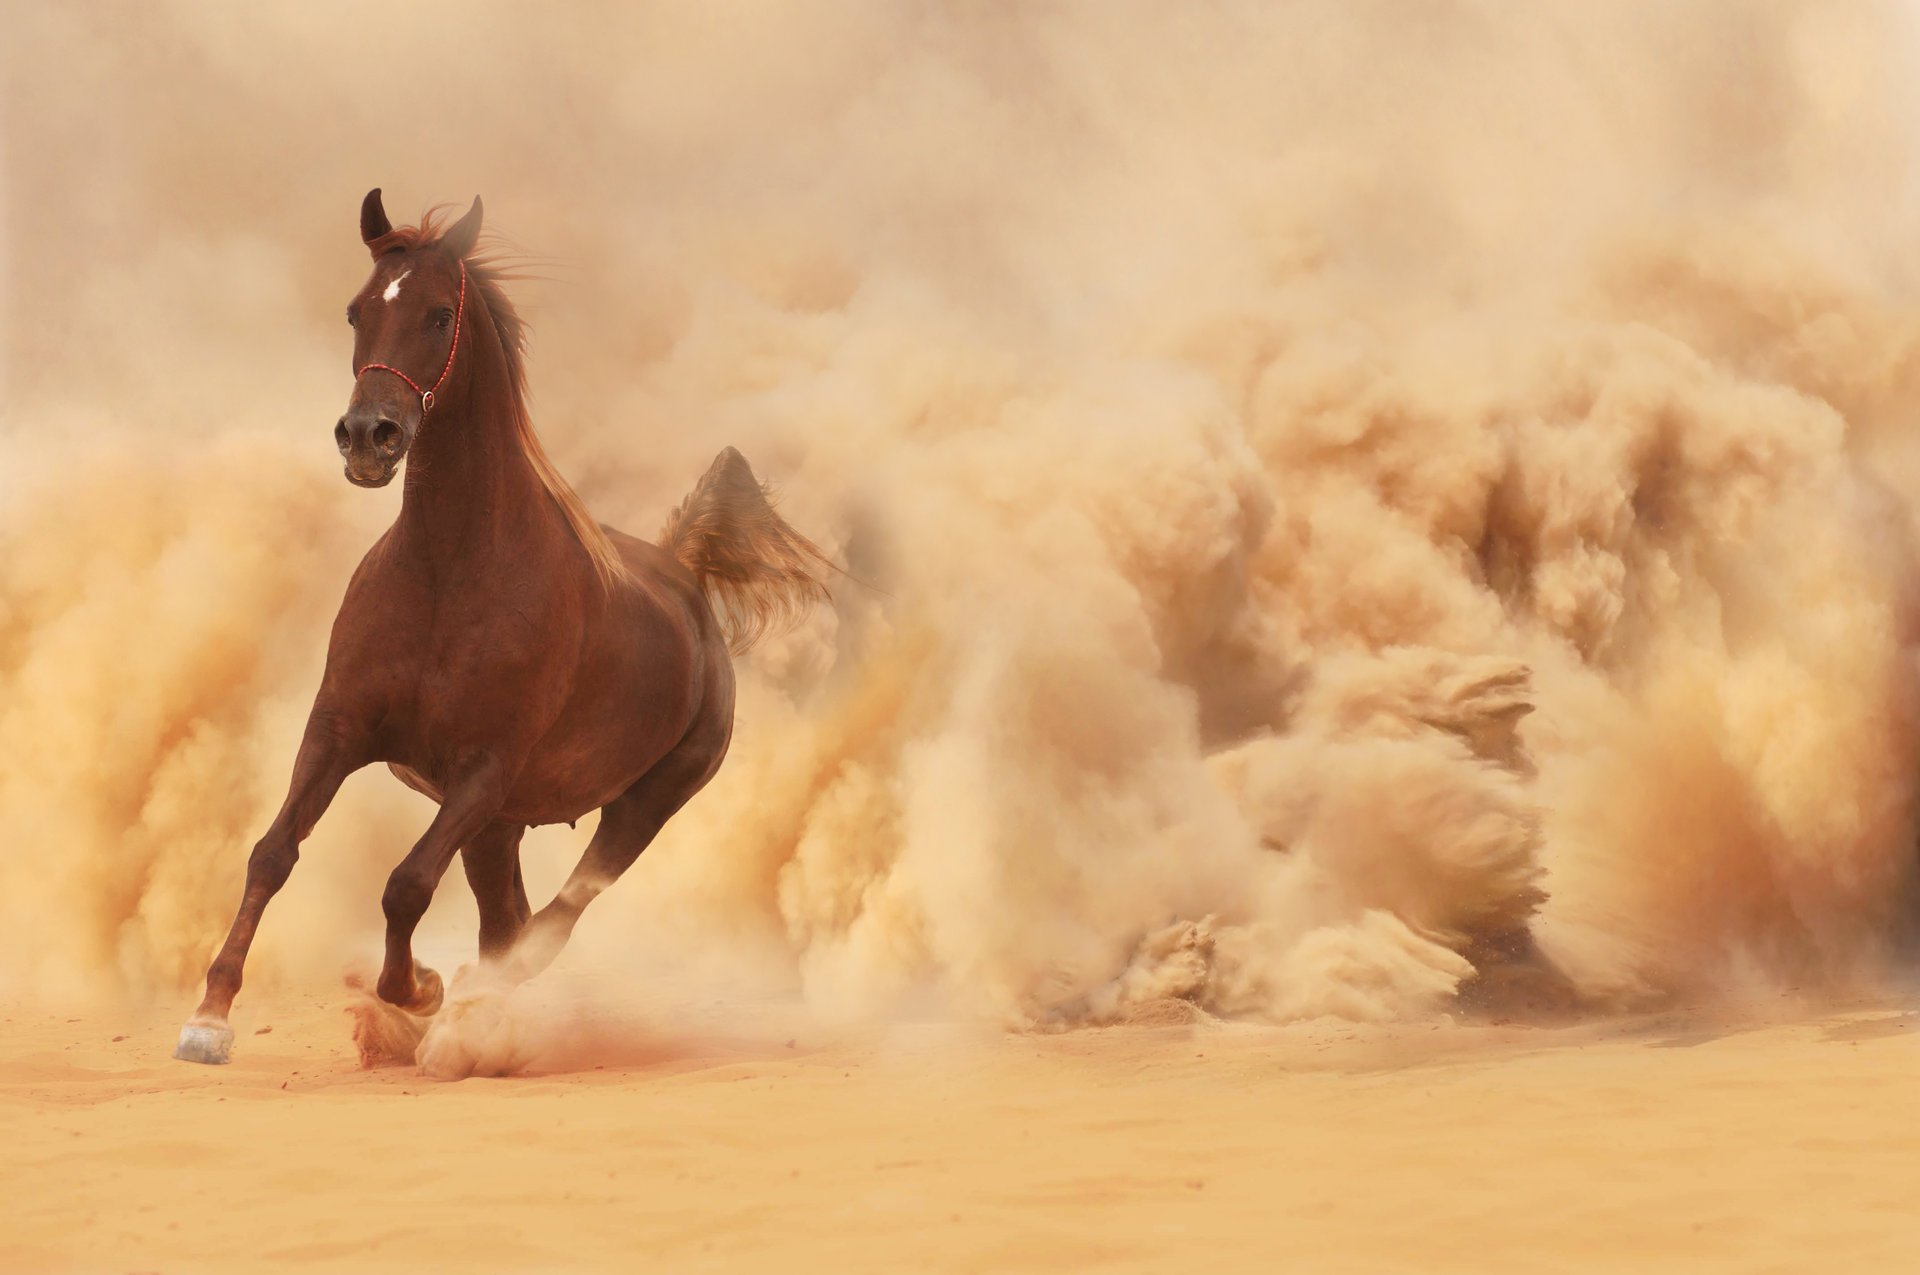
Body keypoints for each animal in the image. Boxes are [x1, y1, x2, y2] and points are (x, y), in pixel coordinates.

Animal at [174, 189, 833, 1065]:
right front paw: (209, 1018)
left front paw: (419, 988)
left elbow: (406, 883)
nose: (368, 436)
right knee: (508, 918)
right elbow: (272, 852)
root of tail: (684, 575)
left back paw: (472, 1012)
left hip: (641, 804)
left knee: (550, 924)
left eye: (439, 314)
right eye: (357, 309)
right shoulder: (339, 730)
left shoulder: (482, 769)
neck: (448, 573)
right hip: (502, 827)